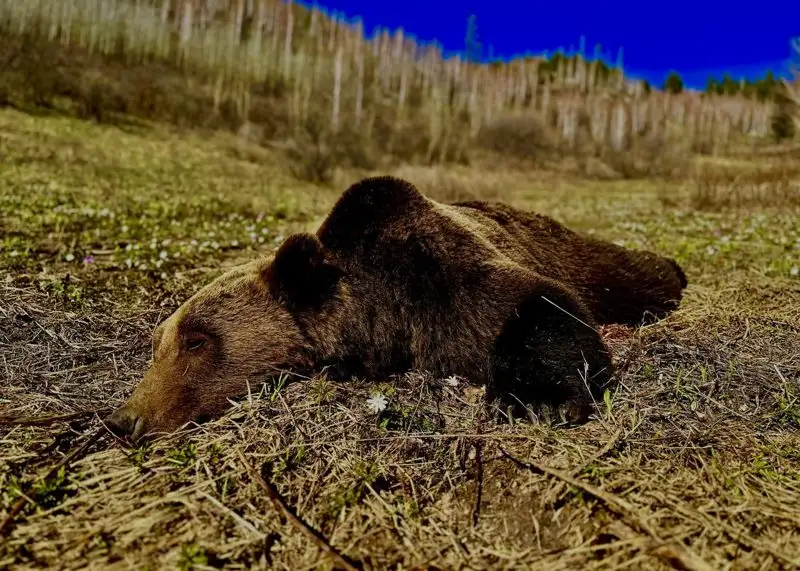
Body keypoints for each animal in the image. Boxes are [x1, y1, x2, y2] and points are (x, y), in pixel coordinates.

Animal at [106, 175, 688, 442]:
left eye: (197, 340)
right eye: (157, 346)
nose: (124, 419)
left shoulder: (444, 277)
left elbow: (538, 304)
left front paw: (537, 399)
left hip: (582, 257)